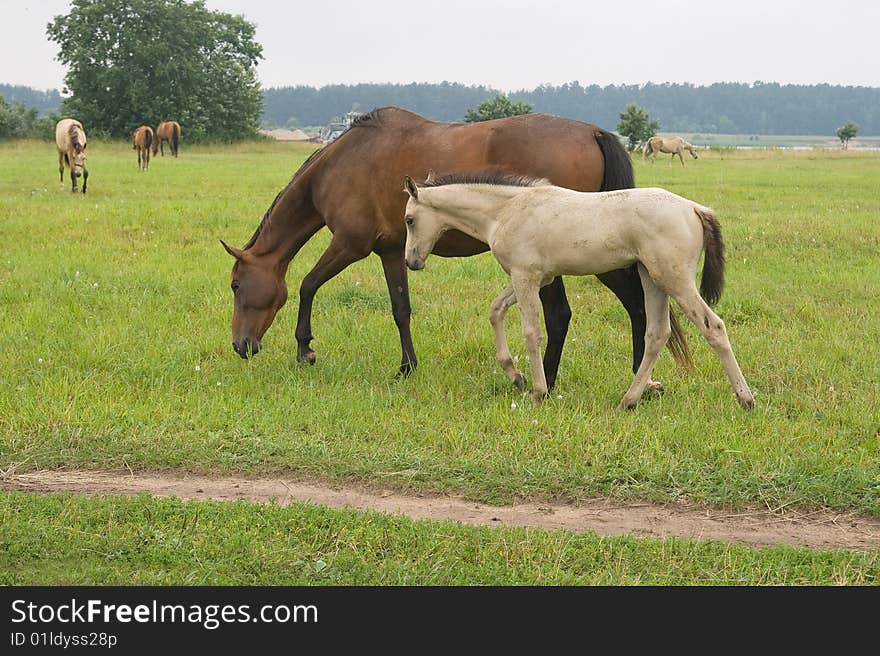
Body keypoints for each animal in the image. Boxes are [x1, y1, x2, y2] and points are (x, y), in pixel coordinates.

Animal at [220, 106, 688, 394]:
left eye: (237, 286)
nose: (241, 345)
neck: (344, 162)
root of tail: (591, 131)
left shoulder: (349, 245)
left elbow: (306, 285)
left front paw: (305, 350)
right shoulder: (392, 251)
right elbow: (400, 309)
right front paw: (407, 367)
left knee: (594, 312)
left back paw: (572, 381)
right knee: (627, 308)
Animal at [402, 174, 752, 410]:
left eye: (409, 219)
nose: (411, 261)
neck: (506, 210)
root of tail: (694, 208)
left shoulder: (525, 277)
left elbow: (531, 332)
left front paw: (538, 392)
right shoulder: (536, 278)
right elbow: (495, 310)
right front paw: (515, 375)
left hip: (675, 280)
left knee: (713, 327)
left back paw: (745, 399)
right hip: (652, 279)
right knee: (657, 334)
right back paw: (629, 400)